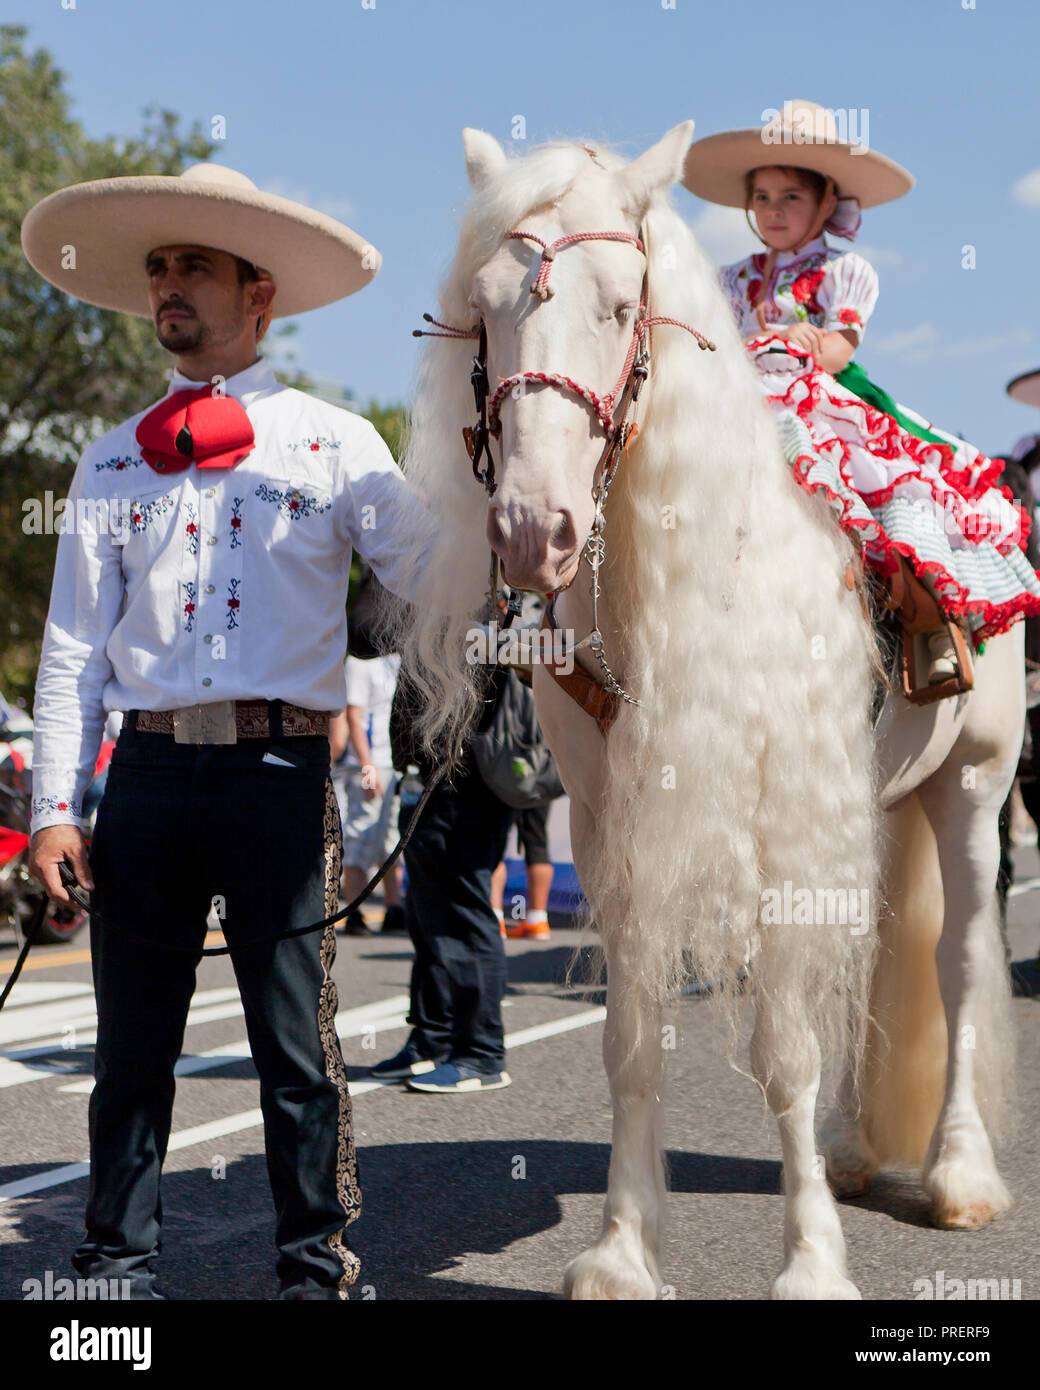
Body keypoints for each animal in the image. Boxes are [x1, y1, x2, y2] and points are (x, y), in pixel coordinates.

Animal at [388, 121, 1020, 1299]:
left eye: (617, 307)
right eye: (484, 307)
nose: (533, 529)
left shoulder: (772, 823)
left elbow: (784, 1050)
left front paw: (811, 1263)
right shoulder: (609, 824)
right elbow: (632, 1039)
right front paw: (621, 1251)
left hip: (973, 785)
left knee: (956, 967)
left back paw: (958, 1174)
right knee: (869, 958)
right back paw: (857, 1150)